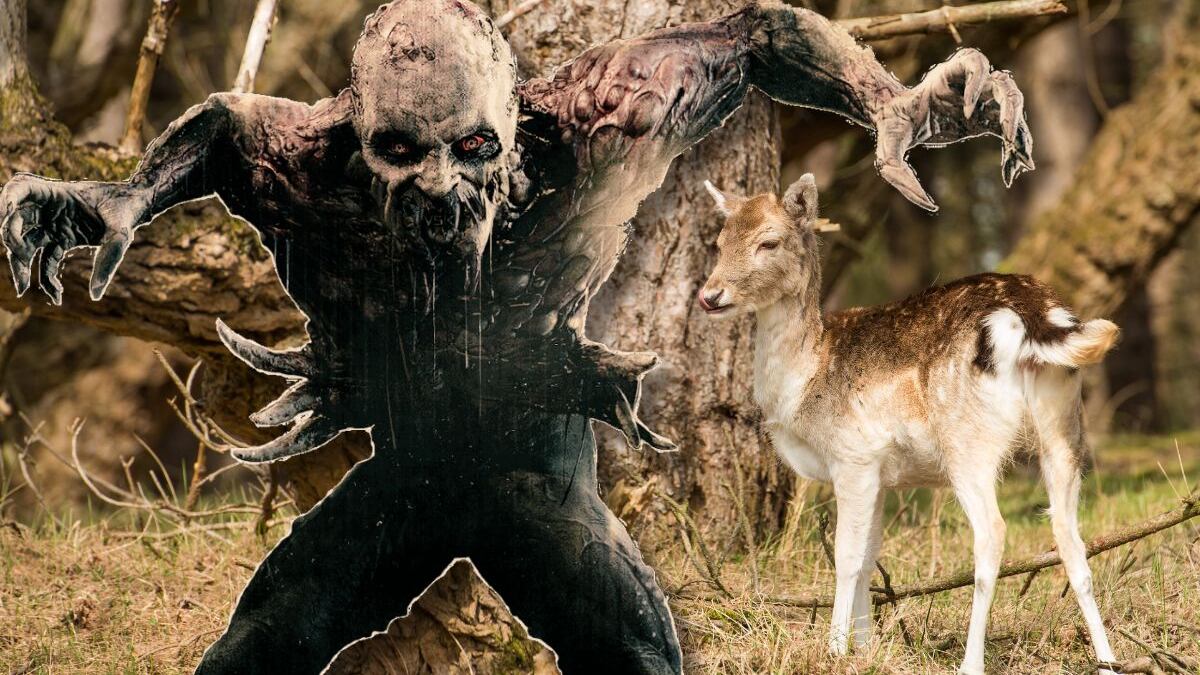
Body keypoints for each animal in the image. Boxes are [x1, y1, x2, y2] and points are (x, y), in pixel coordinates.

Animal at [697, 174, 1120, 674]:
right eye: (719, 241)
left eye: (769, 241)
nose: (710, 296)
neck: (804, 379)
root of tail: (1035, 316)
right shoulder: (881, 475)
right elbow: (870, 555)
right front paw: (865, 648)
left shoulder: (853, 456)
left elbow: (846, 556)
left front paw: (834, 650)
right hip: (1064, 430)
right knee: (1071, 539)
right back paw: (1108, 661)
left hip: (968, 442)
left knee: (993, 533)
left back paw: (971, 662)